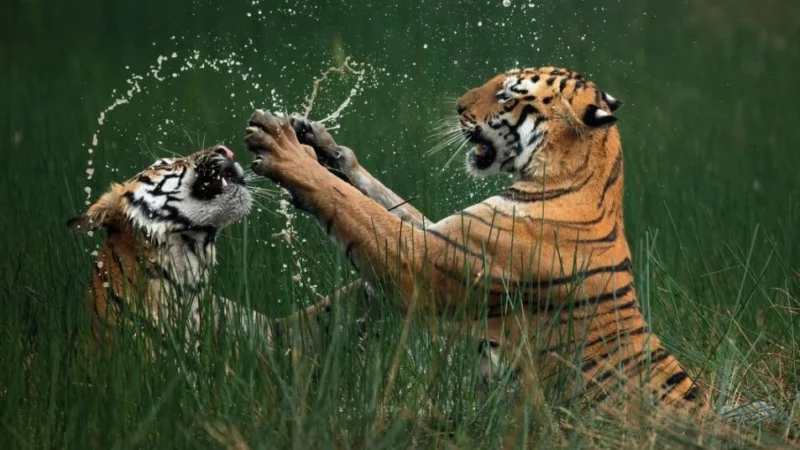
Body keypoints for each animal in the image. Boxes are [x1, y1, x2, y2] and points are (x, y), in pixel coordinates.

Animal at [242, 68, 708, 416]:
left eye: (507, 95)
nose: (457, 107)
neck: (577, 180)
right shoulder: (444, 235)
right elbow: (380, 199)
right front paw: (318, 141)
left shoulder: (421, 261)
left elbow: (353, 206)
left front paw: (282, 148)